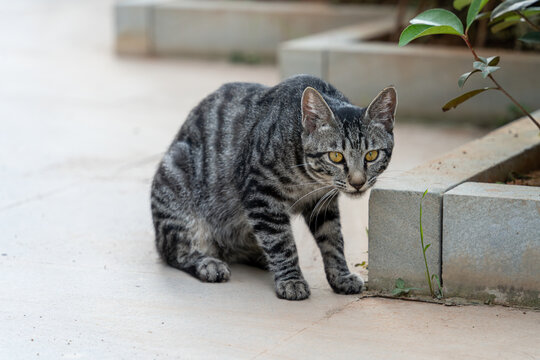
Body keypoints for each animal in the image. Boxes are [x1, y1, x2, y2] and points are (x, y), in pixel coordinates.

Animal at [150, 75, 394, 300]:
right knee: (174, 251)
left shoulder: (323, 203)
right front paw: (291, 280)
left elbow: (333, 241)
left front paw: (341, 276)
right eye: (336, 156)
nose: (357, 182)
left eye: (371, 155)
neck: (309, 179)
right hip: (177, 187)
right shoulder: (261, 193)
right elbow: (281, 242)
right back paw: (209, 263)